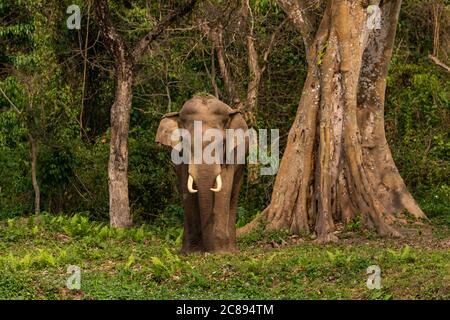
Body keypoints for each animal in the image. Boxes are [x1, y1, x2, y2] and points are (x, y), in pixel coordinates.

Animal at [156, 94, 250, 252]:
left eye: (221, 143)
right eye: (186, 143)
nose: (207, 249)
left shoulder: (230, 155)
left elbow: (223, 188)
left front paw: (221, 251)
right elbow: (186, 189)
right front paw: (191, 251)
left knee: (233, 194)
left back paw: (232, 249)